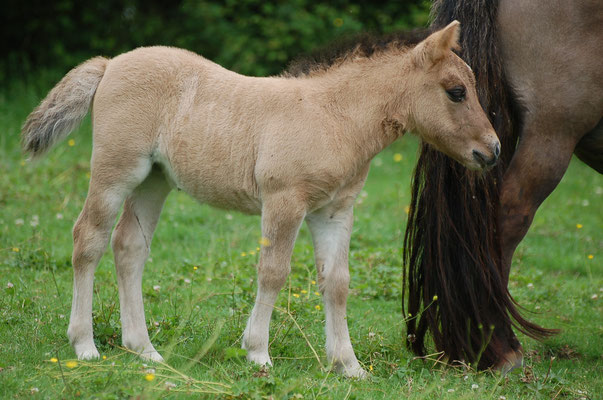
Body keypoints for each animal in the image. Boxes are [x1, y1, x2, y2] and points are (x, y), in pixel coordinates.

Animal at [21, 21, 498, 378]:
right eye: (456, 91)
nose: (491, 151)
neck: (334, 117)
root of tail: (110, 64)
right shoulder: (284, 201)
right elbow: (273, 272)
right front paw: (257, 353)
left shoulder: (334, 211)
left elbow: (337, 282)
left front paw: (349, 365)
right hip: (117, 170)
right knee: (89, 239)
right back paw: (85, 345)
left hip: (153, 180)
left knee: (129, 247)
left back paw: (144, 349)